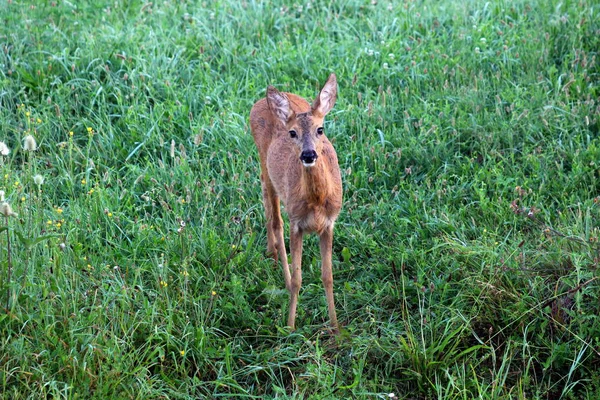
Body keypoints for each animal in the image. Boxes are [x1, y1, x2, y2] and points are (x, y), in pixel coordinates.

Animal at [250, 73, 342, 332]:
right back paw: (281, 268)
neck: (317, 201)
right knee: (275, 220)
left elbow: (328, 276)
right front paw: (290, 327)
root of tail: (260, 102)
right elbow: (299, 279)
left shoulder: (329, 224)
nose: (308, 154)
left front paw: (336, 327)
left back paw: (270, 252)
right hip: (266, 166)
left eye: (320, 129)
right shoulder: (297, 223)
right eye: (292, 133)